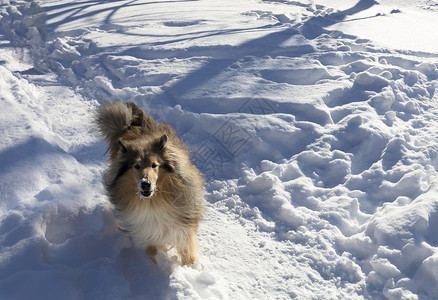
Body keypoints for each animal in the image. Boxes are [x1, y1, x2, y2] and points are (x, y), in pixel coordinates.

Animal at [95, 102, 204, 268]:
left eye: (154, 165)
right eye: (136, 166)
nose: (145, 184)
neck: (154, 201)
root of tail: (130, 125)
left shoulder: (183, 226)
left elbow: (188, 250)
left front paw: (191, 268)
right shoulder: (145, 232)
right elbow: (153, 250)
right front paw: (166, 264)